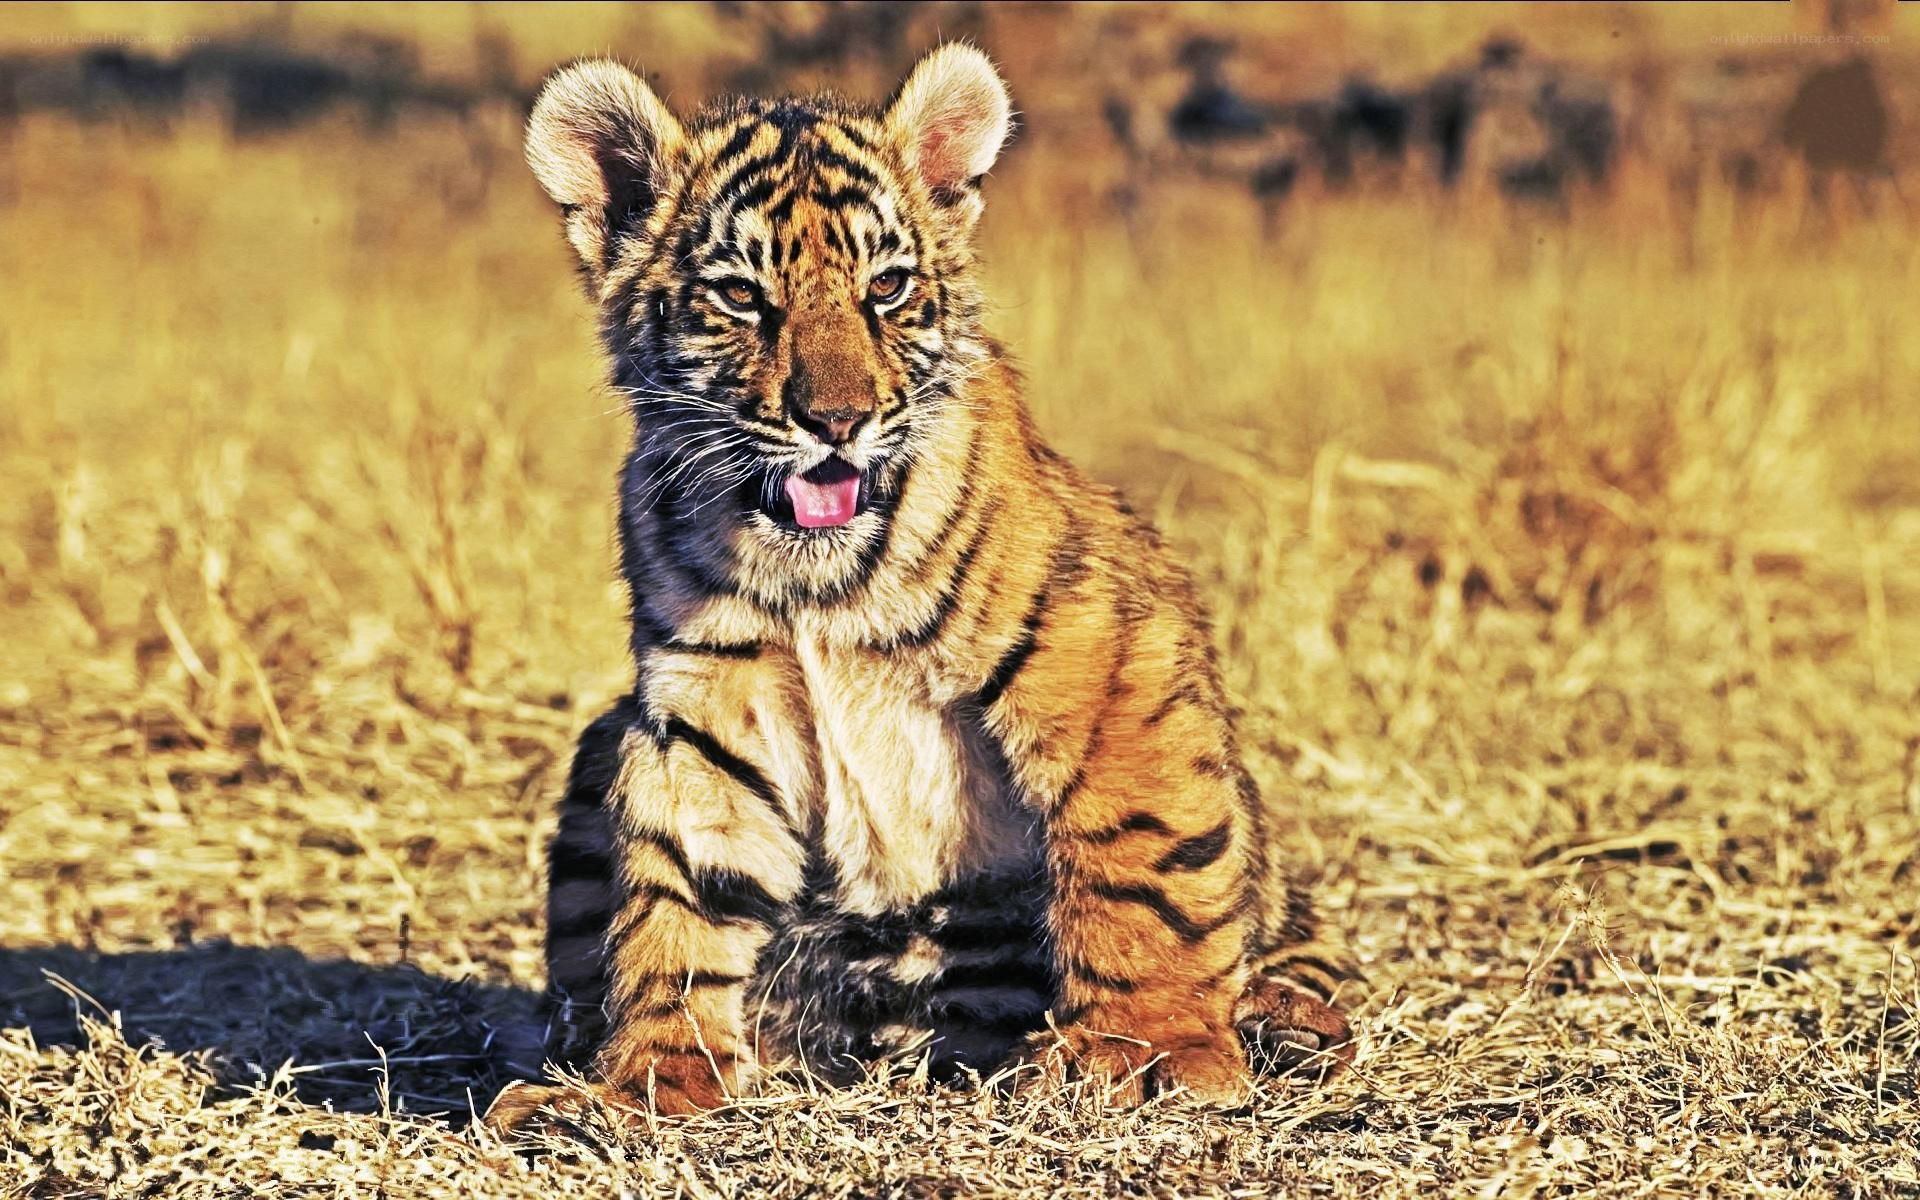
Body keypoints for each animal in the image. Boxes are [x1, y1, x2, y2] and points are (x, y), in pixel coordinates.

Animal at [486, 44, 1354, 1130]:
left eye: (888, 287)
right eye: (742, 299)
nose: (836, 421)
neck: (811, 575)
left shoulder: (1109, 652)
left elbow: (1141, 854)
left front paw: (1148, 1054)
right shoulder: (704, 702)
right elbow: (678, 891)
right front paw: (652, 1080)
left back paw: (1283, 1025)